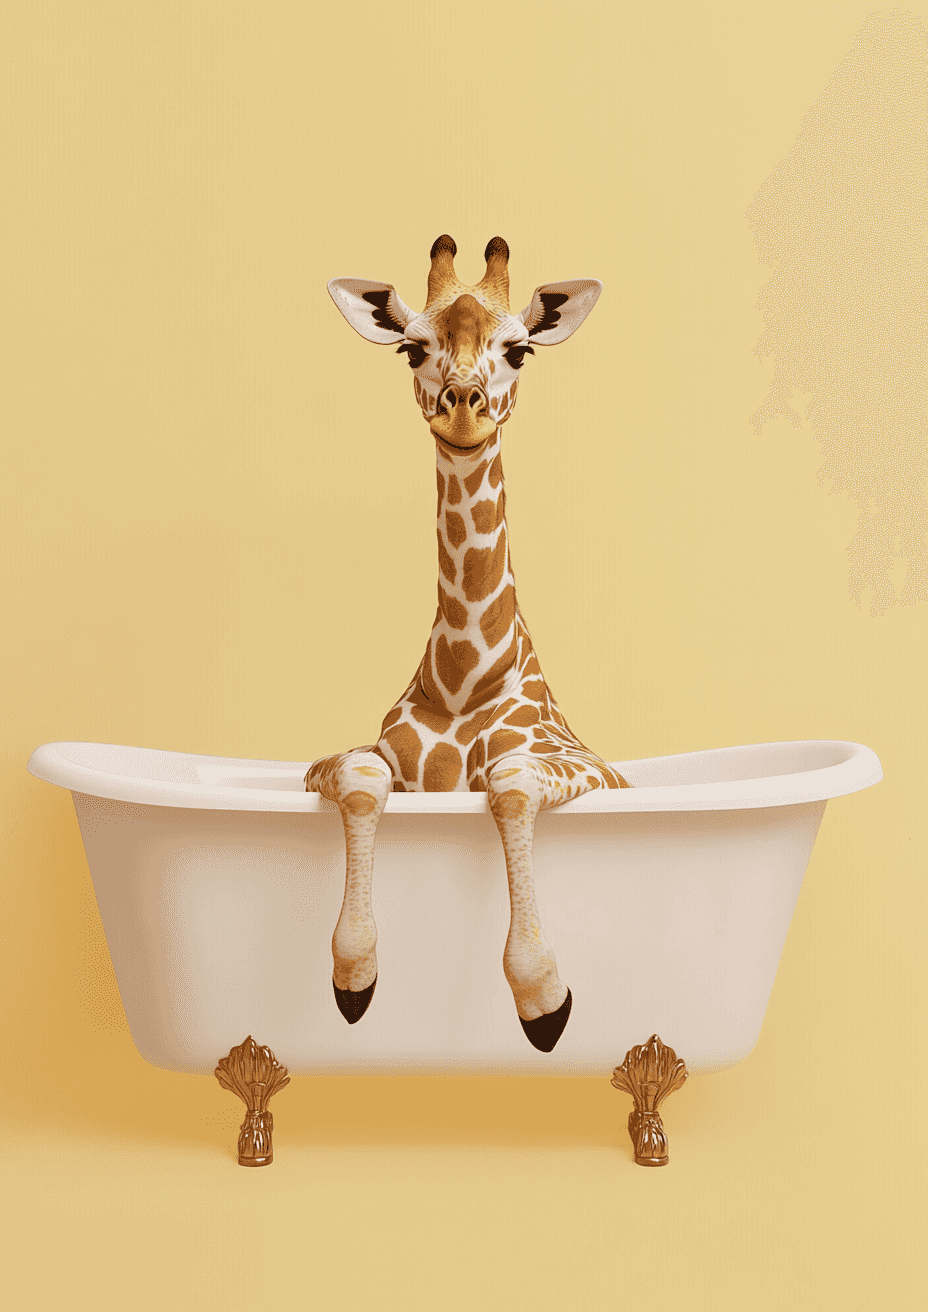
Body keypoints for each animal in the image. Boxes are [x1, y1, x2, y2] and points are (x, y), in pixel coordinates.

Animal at [306, 235, 630, 1053]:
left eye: (518, 350)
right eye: (410, 348)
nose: (463, 409)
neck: (461, 674)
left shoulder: (586, 768)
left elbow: (509, 782)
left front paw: (544, 997)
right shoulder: (349, 764)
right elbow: (363, 772)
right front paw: (354, 975)